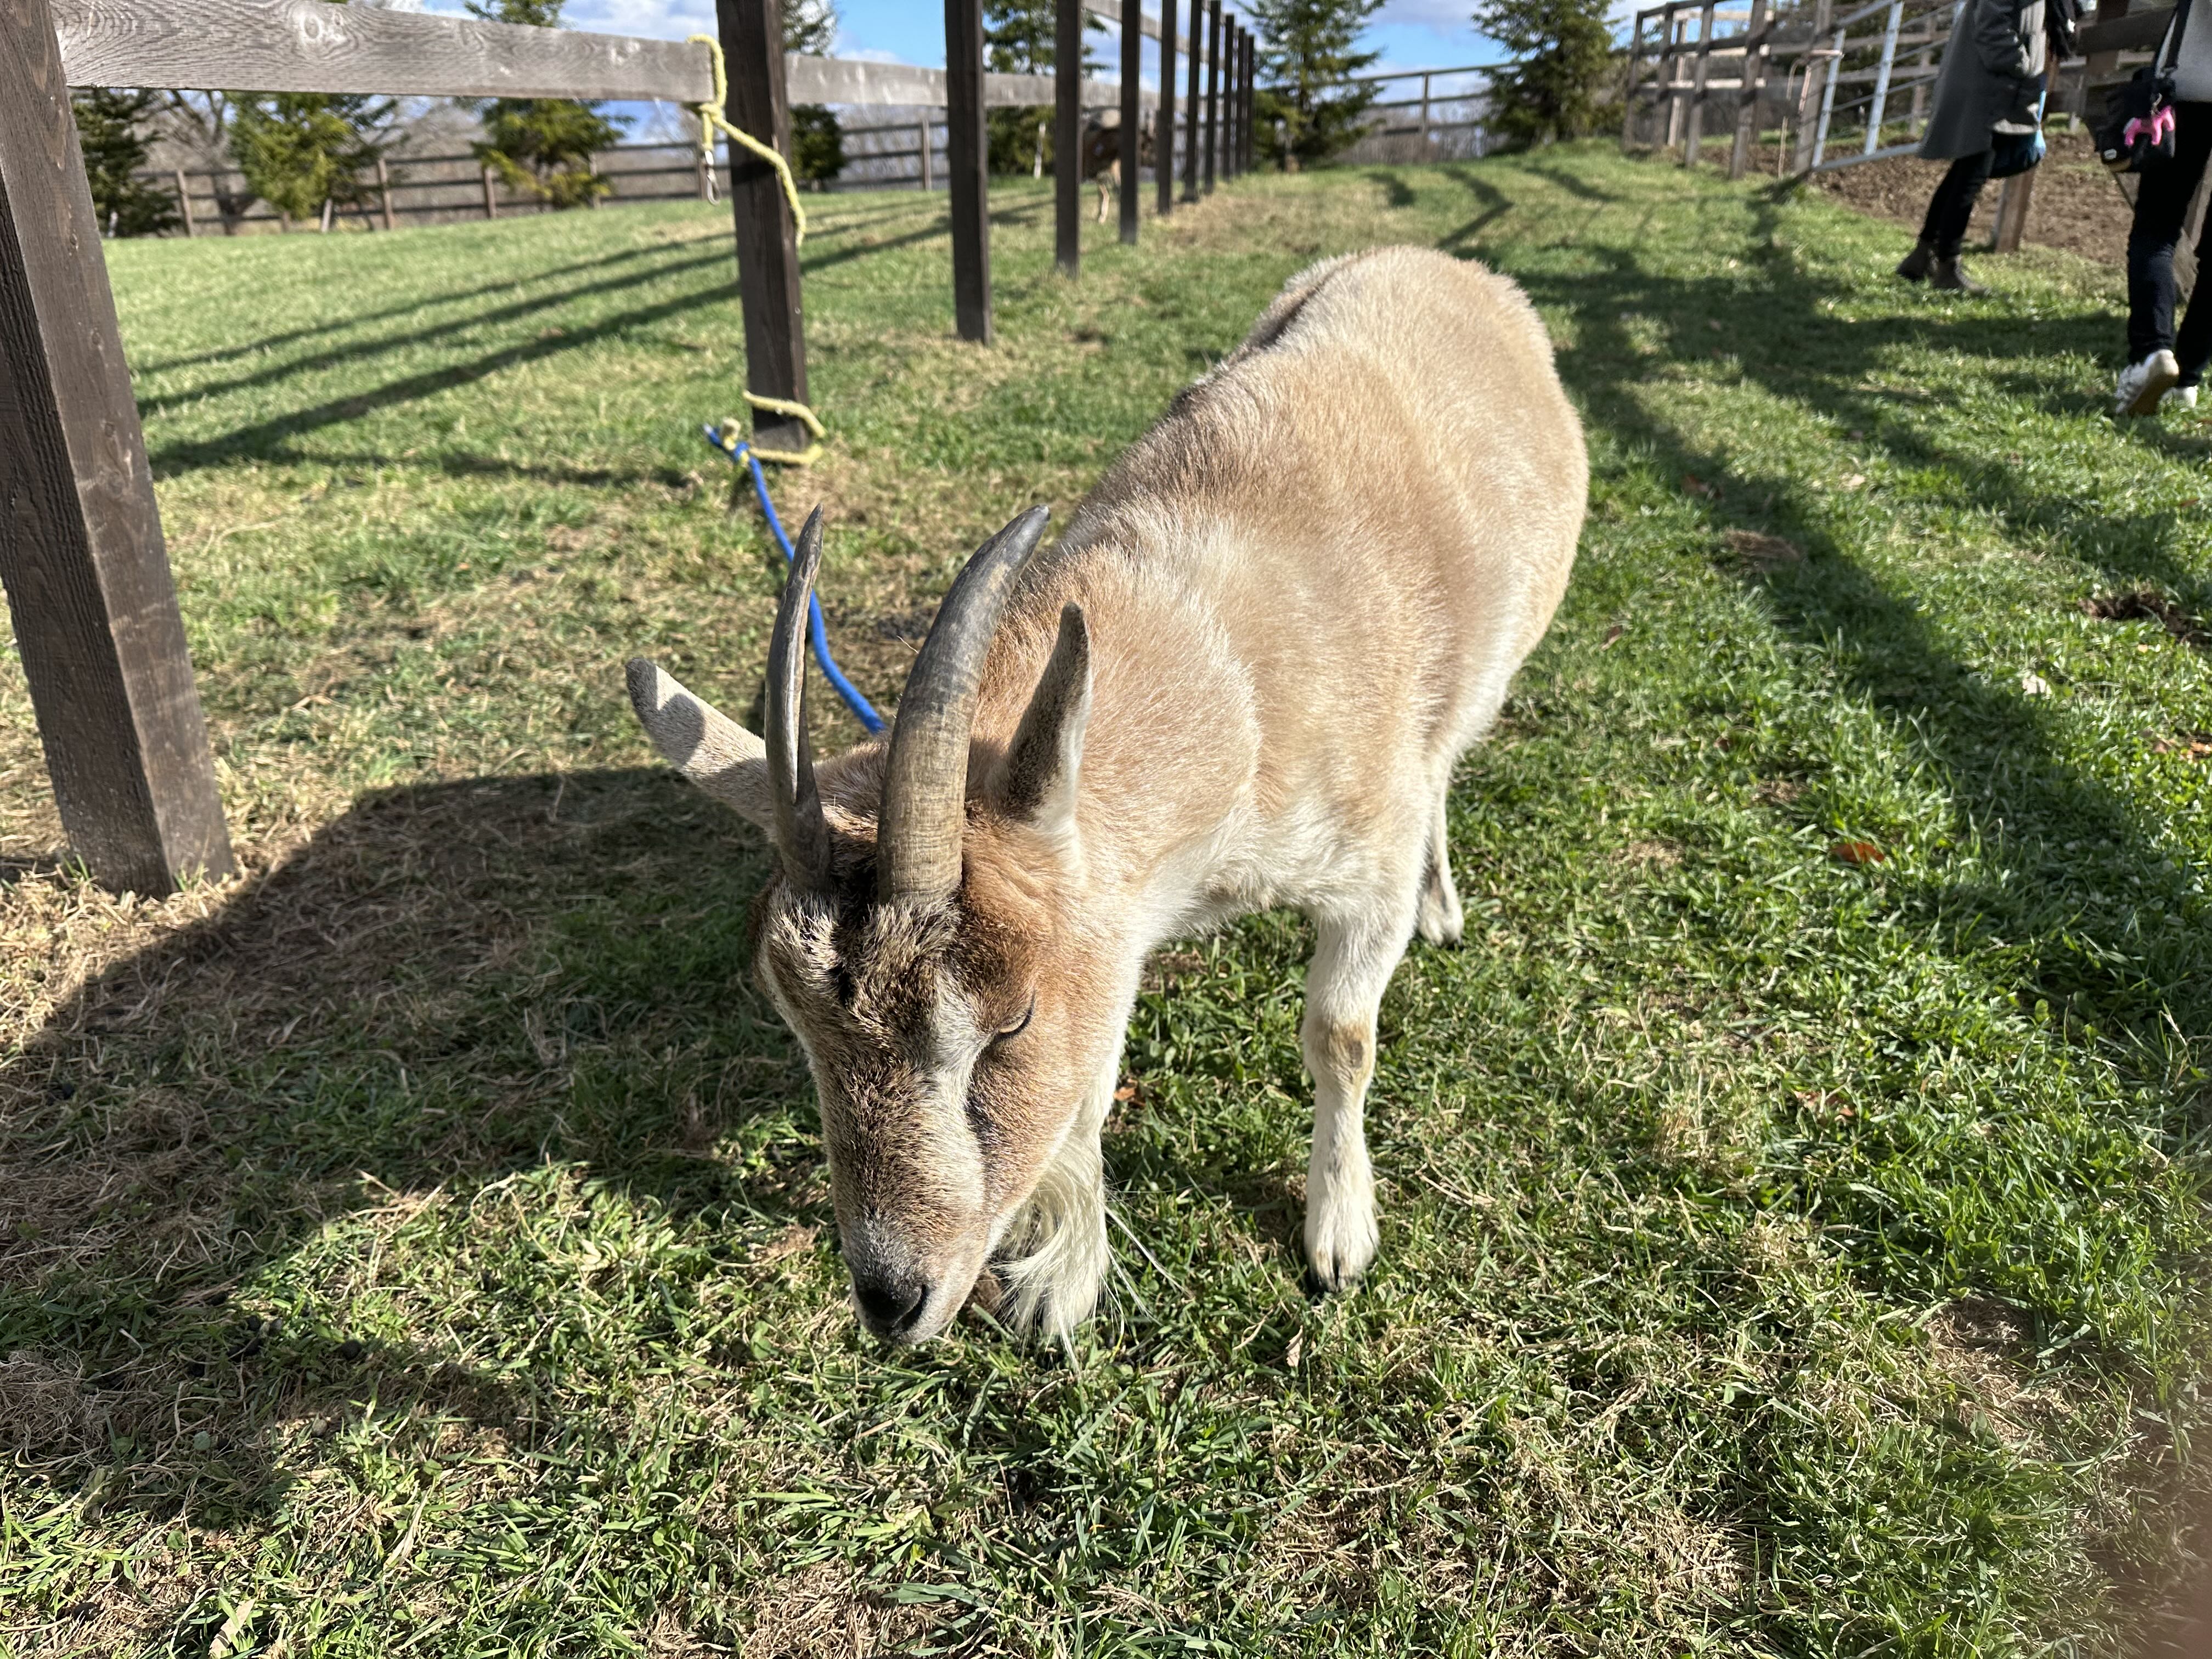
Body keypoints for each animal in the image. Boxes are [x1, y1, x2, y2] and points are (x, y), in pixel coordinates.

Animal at [628, 246, 1586, 1345]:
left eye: (1009, 1024)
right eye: (797, 1027)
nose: (892, 1298)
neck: (1236, 680)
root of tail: (1444, 265)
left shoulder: (1363, 864)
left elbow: (1340, 1034)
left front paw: (1339, 1238)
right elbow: (1088, 1089)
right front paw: (1062, 1280)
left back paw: (1442, 901)